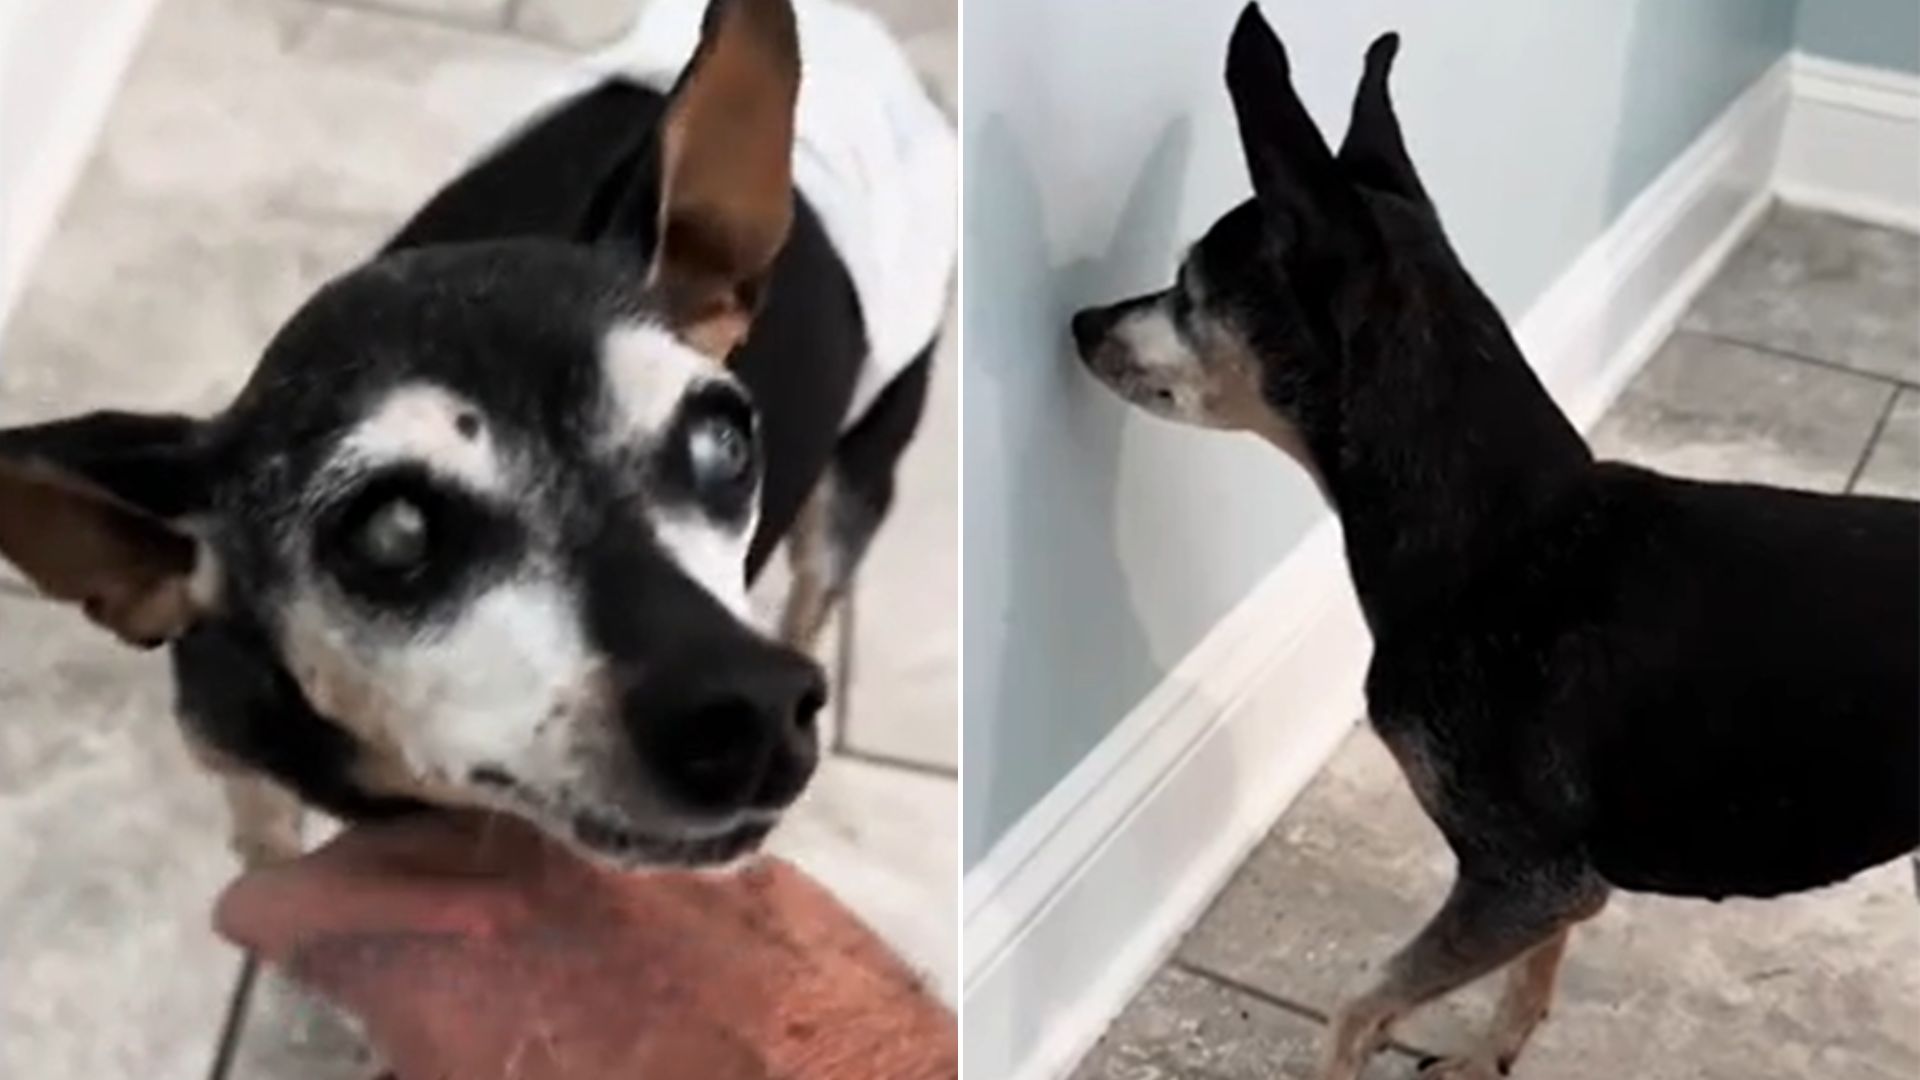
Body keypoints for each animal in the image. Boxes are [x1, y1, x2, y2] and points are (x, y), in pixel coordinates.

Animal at [0, 0, 952, 868]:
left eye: (723, 443)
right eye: (392, 532)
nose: (755, 705)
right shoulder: (236, 766)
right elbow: (267, 851)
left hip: (861, 474)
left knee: (817, 586)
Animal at [1075, 6, 1912, 1068]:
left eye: (1187, 291)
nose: (1080, 320)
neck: (1499, 535)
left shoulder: (1522, 875)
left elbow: (1357, 1002)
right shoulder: (1556, 891)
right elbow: (1531, 975)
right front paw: (1487, 1058)